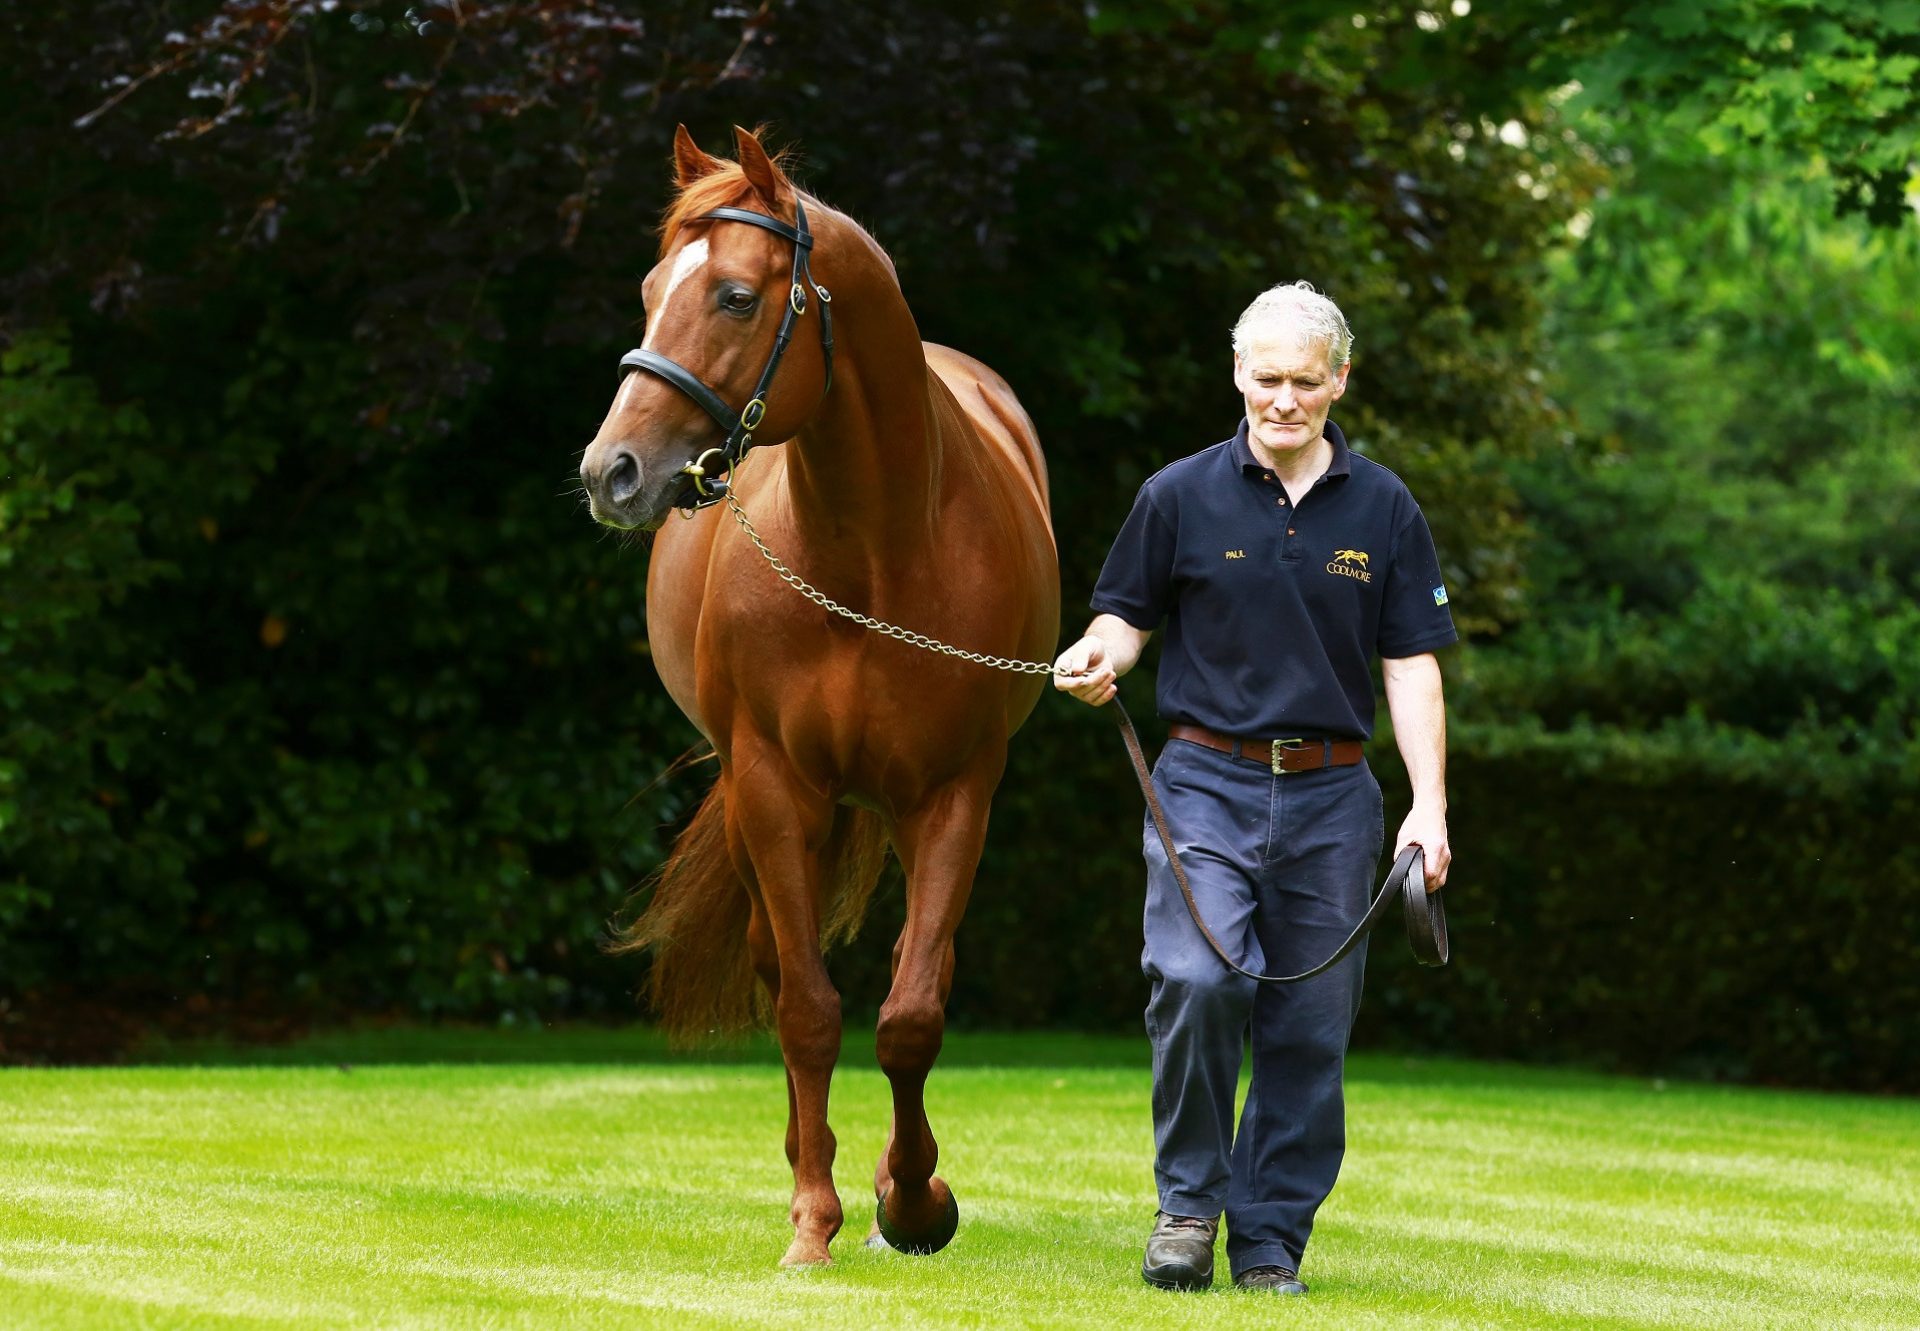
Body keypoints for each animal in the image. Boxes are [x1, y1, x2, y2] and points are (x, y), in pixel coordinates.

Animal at [576, 126, 1059, 1267]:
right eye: (653, 287)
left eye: (736, 296)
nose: (611, 470)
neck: (874, 552)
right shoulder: (773, 784)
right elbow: (806, 1007)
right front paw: (814, 1217)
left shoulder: (954, 794)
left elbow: (911, 1013)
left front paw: (915, 1200)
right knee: (777, 966)